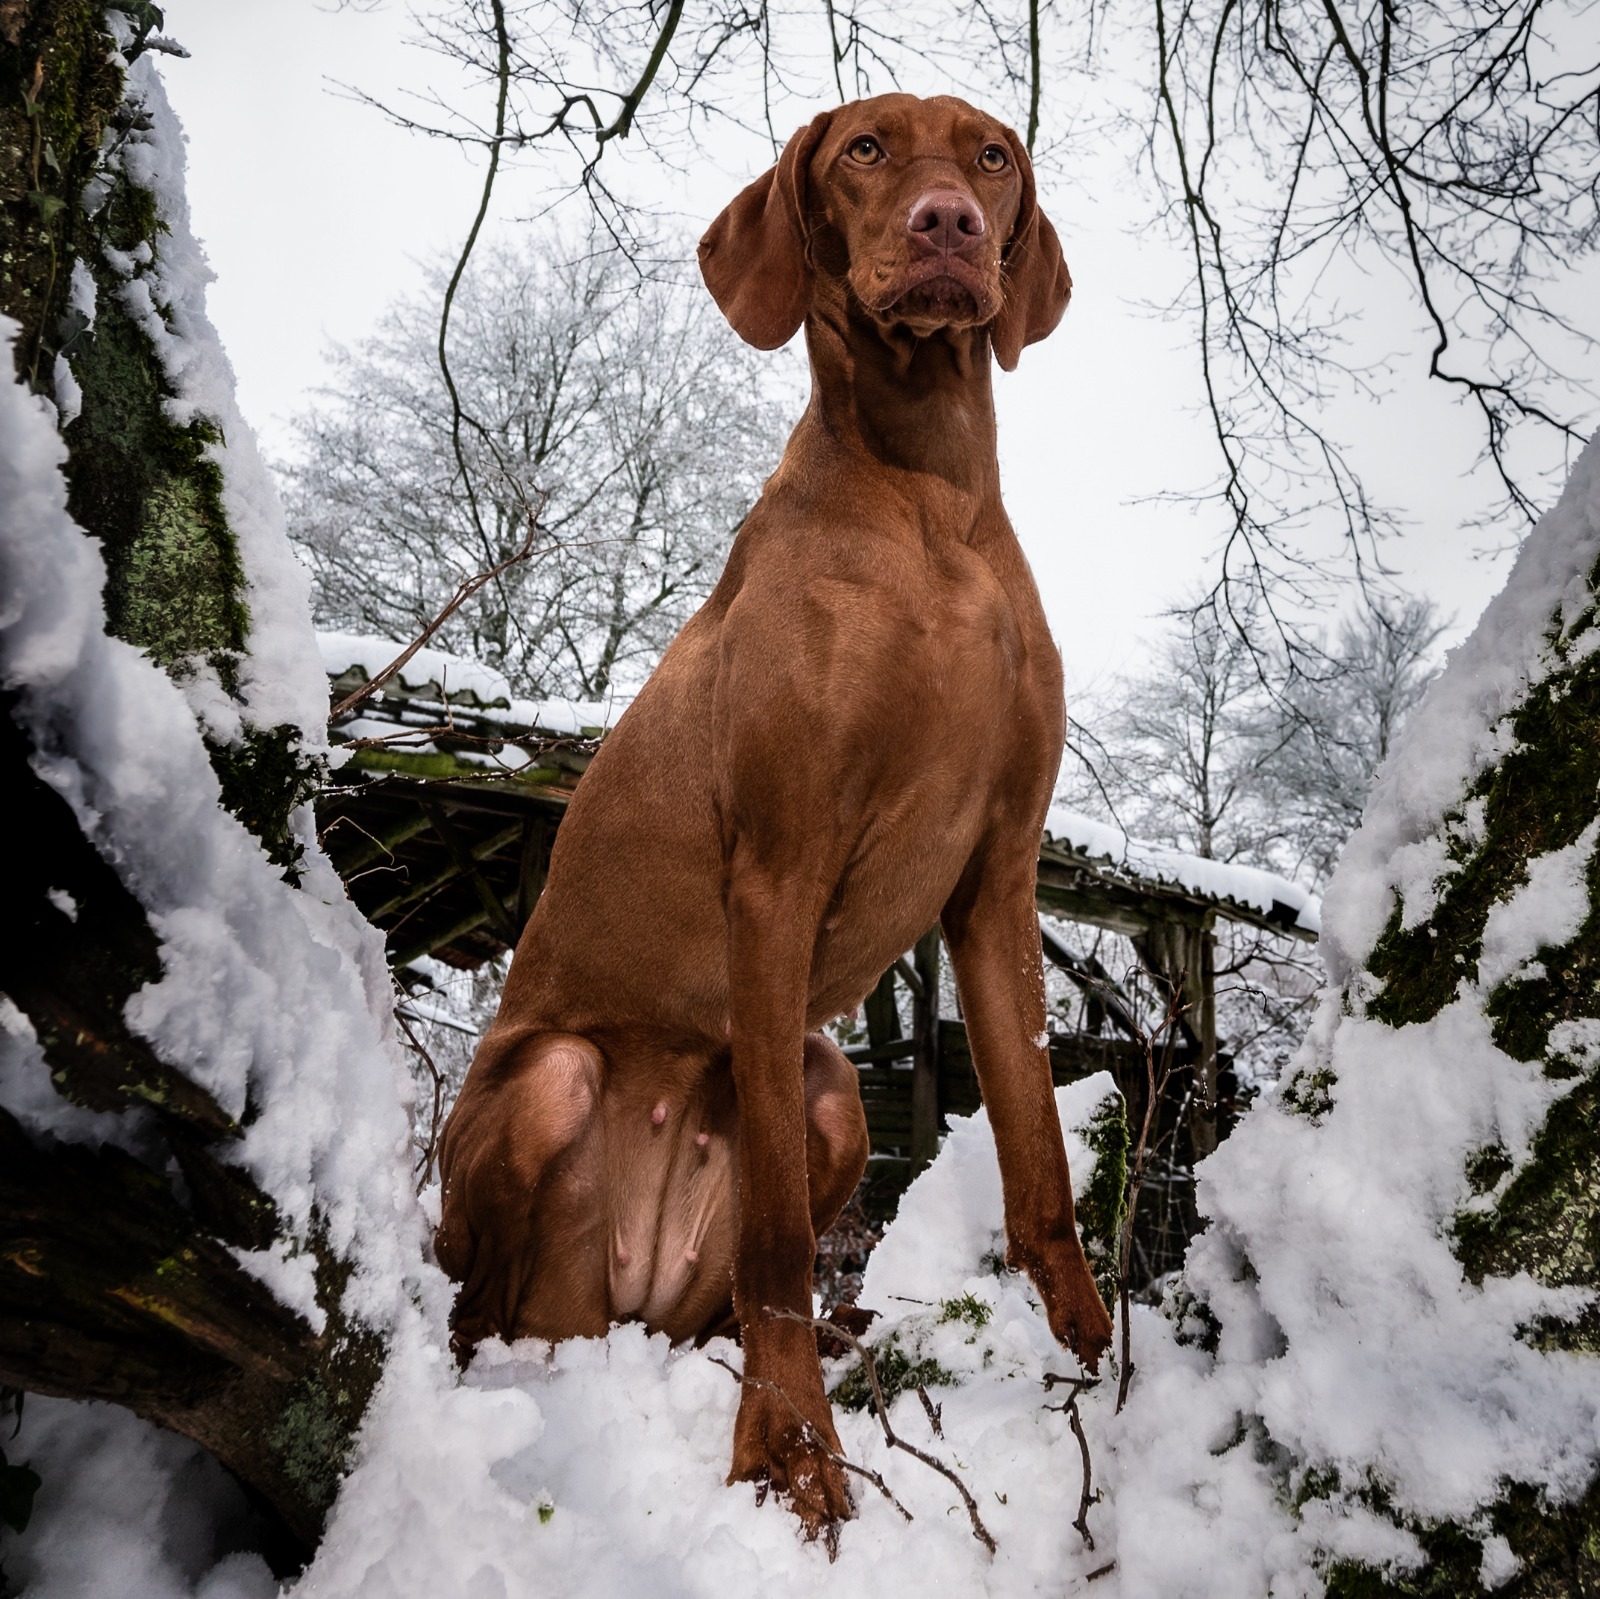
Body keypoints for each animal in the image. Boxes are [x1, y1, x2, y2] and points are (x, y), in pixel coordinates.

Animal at [435, 93, 1113, 1542]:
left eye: (991, 157)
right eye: (865, 149)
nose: (948, 226)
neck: (932, 496)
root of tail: (606, 1306)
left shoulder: (1000, 881)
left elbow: (1037, 1151)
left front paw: (1098, 1358)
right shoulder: (778, 869)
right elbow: (781, 1242)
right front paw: (791, 1450)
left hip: (826, 1088)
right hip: (557, 1089)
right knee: (489, 1302)